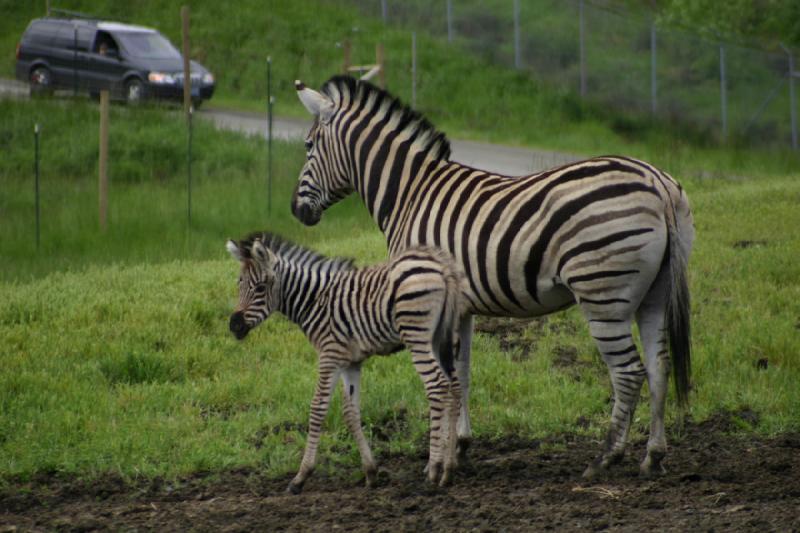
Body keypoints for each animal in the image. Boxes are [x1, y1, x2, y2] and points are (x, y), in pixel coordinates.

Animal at [227, 233, 462, 494]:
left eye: (260, 288)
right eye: (239, 284)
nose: (234, 326)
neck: (313, 301)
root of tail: (441, 265)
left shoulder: (329, 355)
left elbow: (317, 408)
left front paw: (301, 476)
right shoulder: (351, 362)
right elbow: (351, 412)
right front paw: (370, 472)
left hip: (417, 336)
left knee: (437, 385)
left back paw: (434, 470)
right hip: (442, 335)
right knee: (454, 387)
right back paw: (449, 469)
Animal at [290, 76, 692, 478]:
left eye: (308, 146)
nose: (296, 211)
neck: (409, 195)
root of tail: (657, 183)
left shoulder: (428, 297)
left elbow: (448, 376)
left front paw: (446, 457)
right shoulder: (460, 307)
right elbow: (463, 374)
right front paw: (462, 445)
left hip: (603, 293)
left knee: (628, 372)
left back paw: (606, 457)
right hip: (654, 293)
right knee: (659, 366)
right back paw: (653, 455)